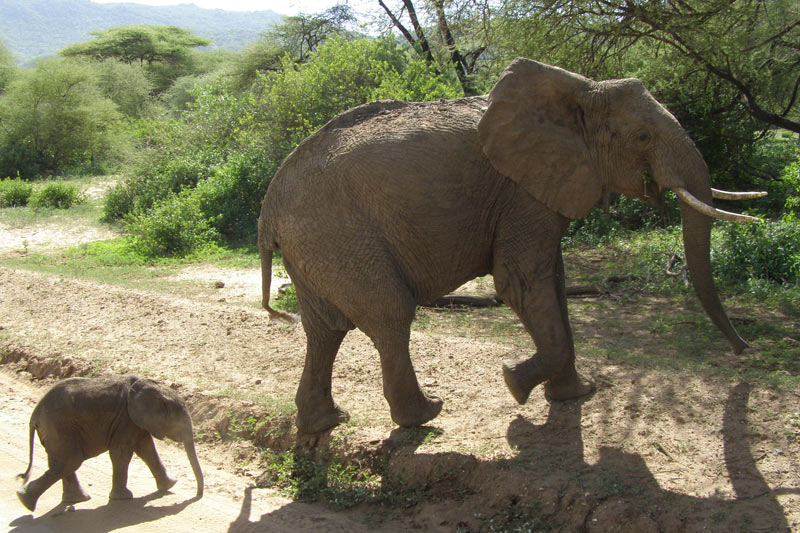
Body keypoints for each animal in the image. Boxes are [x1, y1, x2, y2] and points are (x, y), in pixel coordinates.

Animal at [16, 372, 203, 510]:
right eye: (180, 422)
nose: (198, 495)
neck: (154, 387)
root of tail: (35, 415)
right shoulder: (125, 418)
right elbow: (123, 451)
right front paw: (124, 498)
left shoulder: (134, 421)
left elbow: (146, 448)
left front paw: (170, 485)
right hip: (59, 427)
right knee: (70, 461)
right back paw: (26, 502)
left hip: (55, 431)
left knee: (63, 463)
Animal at [260, 58, 764, 434]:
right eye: (643, 137)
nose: (744, 350)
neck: (580, 90)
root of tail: (269, 207)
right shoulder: (522, 191)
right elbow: (520, 282)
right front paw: (514, 384)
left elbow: (554, 284)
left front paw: (575, 395)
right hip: (338, 235)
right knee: (389, 314)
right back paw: (425, 415)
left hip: (317, 246)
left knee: (325, 329)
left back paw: (326, 423)